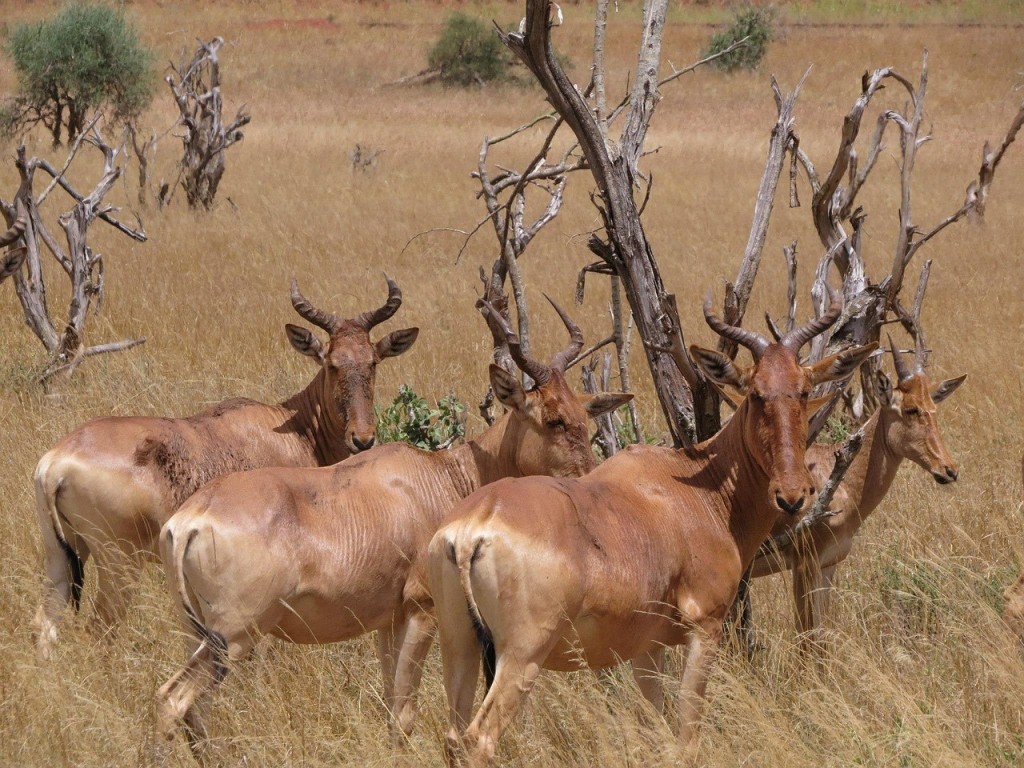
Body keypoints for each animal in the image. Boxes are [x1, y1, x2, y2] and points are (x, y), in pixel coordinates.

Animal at [33, 280, 415, 659]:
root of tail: (56, 462)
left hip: (61, 556)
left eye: (373, 361)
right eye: (332, 363)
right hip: (118, 563)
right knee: (99, 629)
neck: (290, 429)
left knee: (46, 623)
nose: (363, 439)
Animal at [153, 296, 630, 761]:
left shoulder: (387, 621)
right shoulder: (421, 611)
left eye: (584, 415)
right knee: (173, 700)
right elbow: (403, 716)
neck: (438, 476)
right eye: (552, 419)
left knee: (194, 712)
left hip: (198, 632)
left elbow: (388, 709)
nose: (589, 483)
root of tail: (189, 519)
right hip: (234, 635)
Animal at [428, 294, 876, 765]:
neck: (692, 487)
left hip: (458, 644)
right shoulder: (705, 626)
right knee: (479, 738)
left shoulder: (647, 650)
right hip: (523, 654)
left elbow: (655, 731)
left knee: (453, 737)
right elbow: (686, 737)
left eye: (804, 390)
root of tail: (474, 528)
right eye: (755, 393)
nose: (792, 495)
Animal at [749, 335, 962, 651]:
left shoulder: (828, 565)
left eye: (932, 407)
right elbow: (805, 638)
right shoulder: (803, 564)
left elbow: (820, 636)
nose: (949, 470)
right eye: (910, 409)